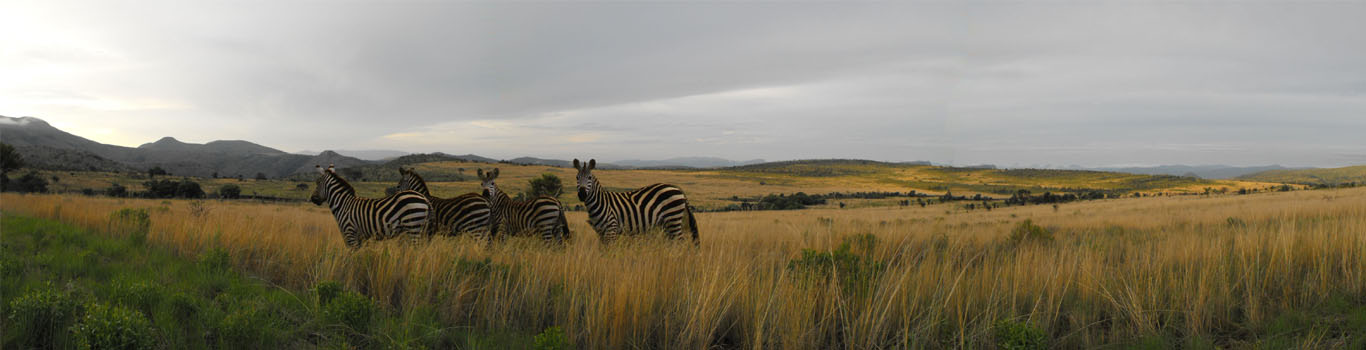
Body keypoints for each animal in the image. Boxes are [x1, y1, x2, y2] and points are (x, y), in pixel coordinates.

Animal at [570, 157, 699, 243]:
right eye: (576, 177)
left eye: (589, 178)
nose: (582, 194)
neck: (600, 203)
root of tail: (678, 189)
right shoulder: (600, 232)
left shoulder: (611, 229)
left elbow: (608, 254)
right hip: (669, 223)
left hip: (673, 219)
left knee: (680, 242)